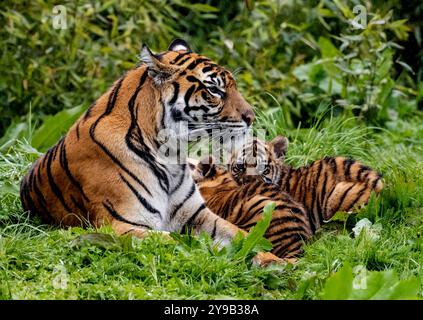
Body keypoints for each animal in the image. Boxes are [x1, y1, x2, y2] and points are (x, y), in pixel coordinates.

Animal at [18, 39, 280, 264]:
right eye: (214, 90)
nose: (251, 117)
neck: (170, 154)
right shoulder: (124, 225)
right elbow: (186, 245)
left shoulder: (197, 215)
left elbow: (242, 235)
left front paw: (278, 262)